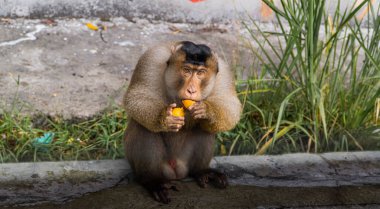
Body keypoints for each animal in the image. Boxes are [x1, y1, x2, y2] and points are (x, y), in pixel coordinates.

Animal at [123, 40, 242, 204]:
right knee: (143, 126)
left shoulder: (224, 71)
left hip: (184, 161)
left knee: (203, 128)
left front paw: (207, 111)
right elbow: (137, 97)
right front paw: (164, 118)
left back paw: (200, 171)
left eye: (200, 73)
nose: (191, 90)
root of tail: (175, 171)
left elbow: (230, 105)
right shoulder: (152, 58)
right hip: (159, 167)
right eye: (186, 70)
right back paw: (152, 180)